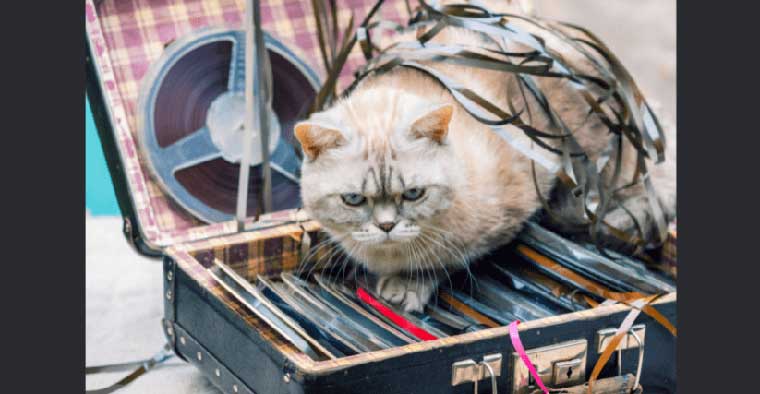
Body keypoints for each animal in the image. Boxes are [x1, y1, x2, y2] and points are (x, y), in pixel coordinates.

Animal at [292, 0, 676, 314]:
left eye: (414, 194)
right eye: (354, 200)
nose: (386, 226)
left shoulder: (502, 220)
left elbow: (441, 263)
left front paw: (408, 287)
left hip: (596, 156)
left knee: (638, 207)